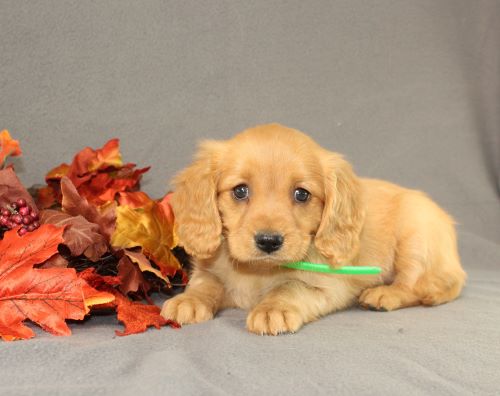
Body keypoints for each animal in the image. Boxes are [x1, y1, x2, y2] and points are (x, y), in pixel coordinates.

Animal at [162, 123, 466, 334]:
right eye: (240, 191)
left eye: (302, 194)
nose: (269, 241)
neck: (259, 271)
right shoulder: (208, 270)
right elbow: (206, 283)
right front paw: (188, 300)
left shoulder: (326, 286)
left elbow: (290, 286)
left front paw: (273, 308)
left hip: (416, 237)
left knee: (424, 285)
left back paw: (385, 294)